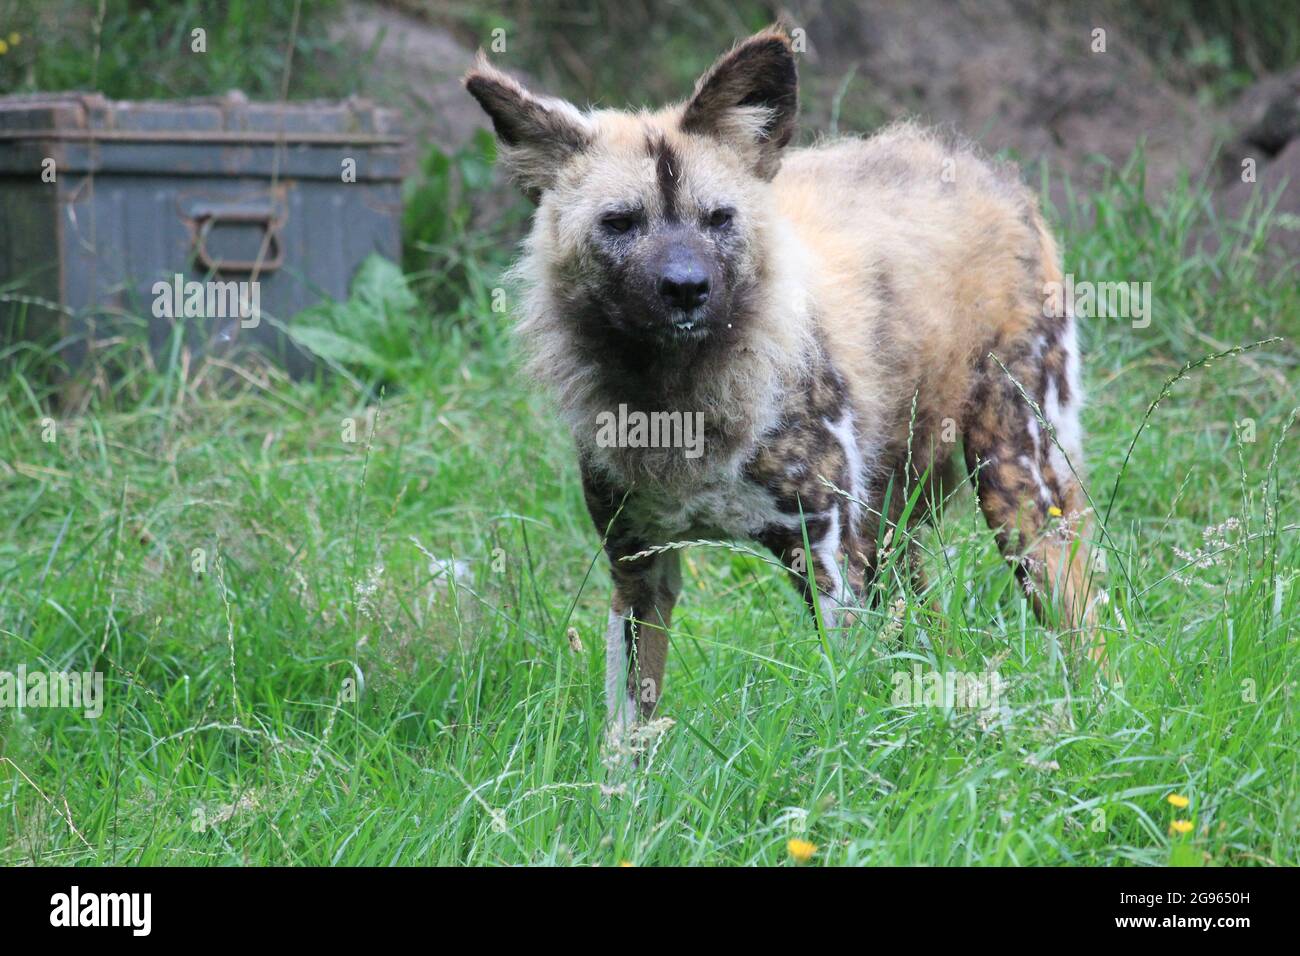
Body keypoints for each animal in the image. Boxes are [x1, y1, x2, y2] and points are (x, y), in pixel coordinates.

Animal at [462, 24, 1102, 738]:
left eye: (719, 218)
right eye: (620, 222)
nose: (686, 288)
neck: (680, 401)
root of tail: (982, 168)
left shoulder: (826, 565)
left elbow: (847, 715)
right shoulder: (638, 573)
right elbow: (627, 737)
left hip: (1017, 489)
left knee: (1084, 627)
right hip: (894, 538)